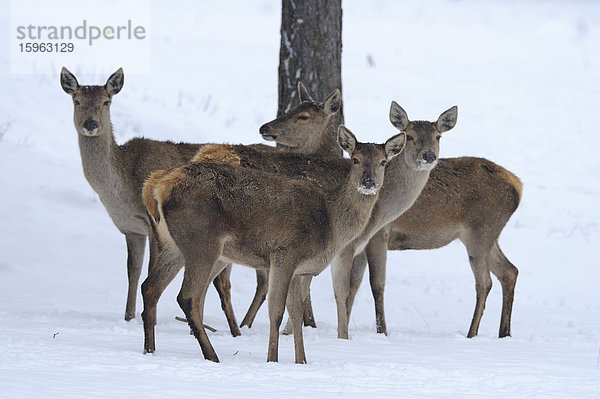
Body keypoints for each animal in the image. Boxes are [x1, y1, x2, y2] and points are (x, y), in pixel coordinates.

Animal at [58, 67, 241, 336]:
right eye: (77, 101)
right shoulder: (132, 229)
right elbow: (132, 271)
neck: (124, 190)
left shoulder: (153, 225)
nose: (90, 124)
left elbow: (149, 270)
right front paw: (128, 317)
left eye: (106, 102)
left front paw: (145, 318)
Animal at [141, 126, 406, 364]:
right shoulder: (284, 253)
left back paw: (150, 350)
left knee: (150, 287)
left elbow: (296, 313)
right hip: (202, 241)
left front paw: (301, 362)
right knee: (188, 296)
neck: (329, 223)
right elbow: (276, 310)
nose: (368, 182)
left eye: (383, 162)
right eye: (355, 159)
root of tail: (156, 185)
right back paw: (212, 356)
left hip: (173, 244)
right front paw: (272, 360)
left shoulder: (299, 270)